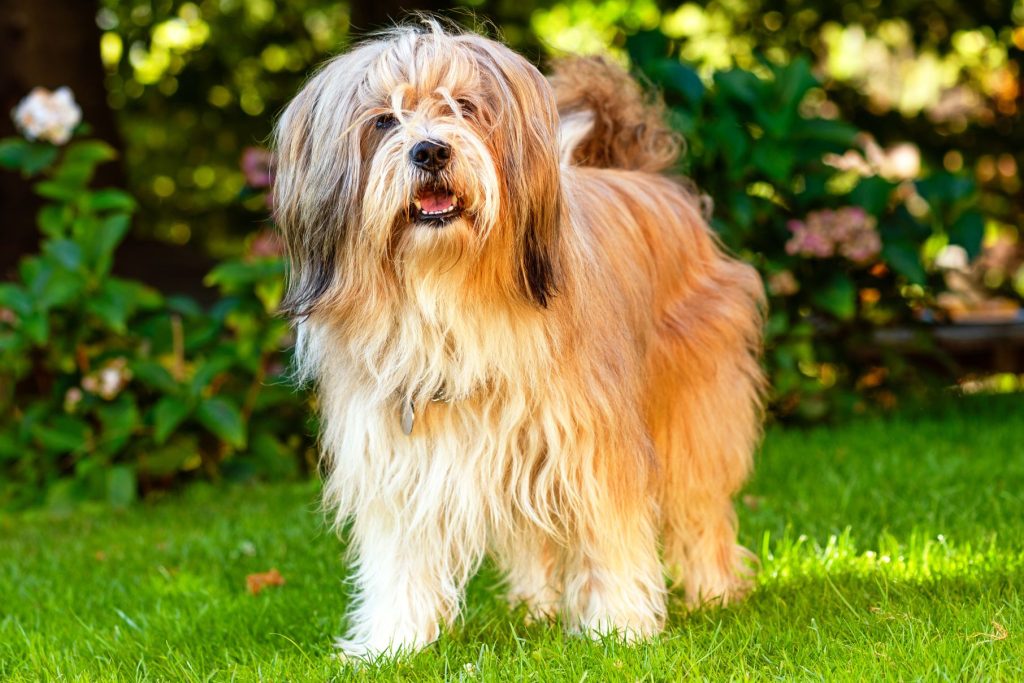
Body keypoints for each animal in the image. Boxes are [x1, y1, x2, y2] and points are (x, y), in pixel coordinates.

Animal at [268, 18, 765, 655]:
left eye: (464, 107)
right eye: (382, 120)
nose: (431, 150)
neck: (449, 293)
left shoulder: (591, 442)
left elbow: (610, 535)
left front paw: (617, 628)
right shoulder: (401, 453)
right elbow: (401, 557)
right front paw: (392, 643)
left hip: (692, 406)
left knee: (699, 507)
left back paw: (713, 592)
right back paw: (535, 609)